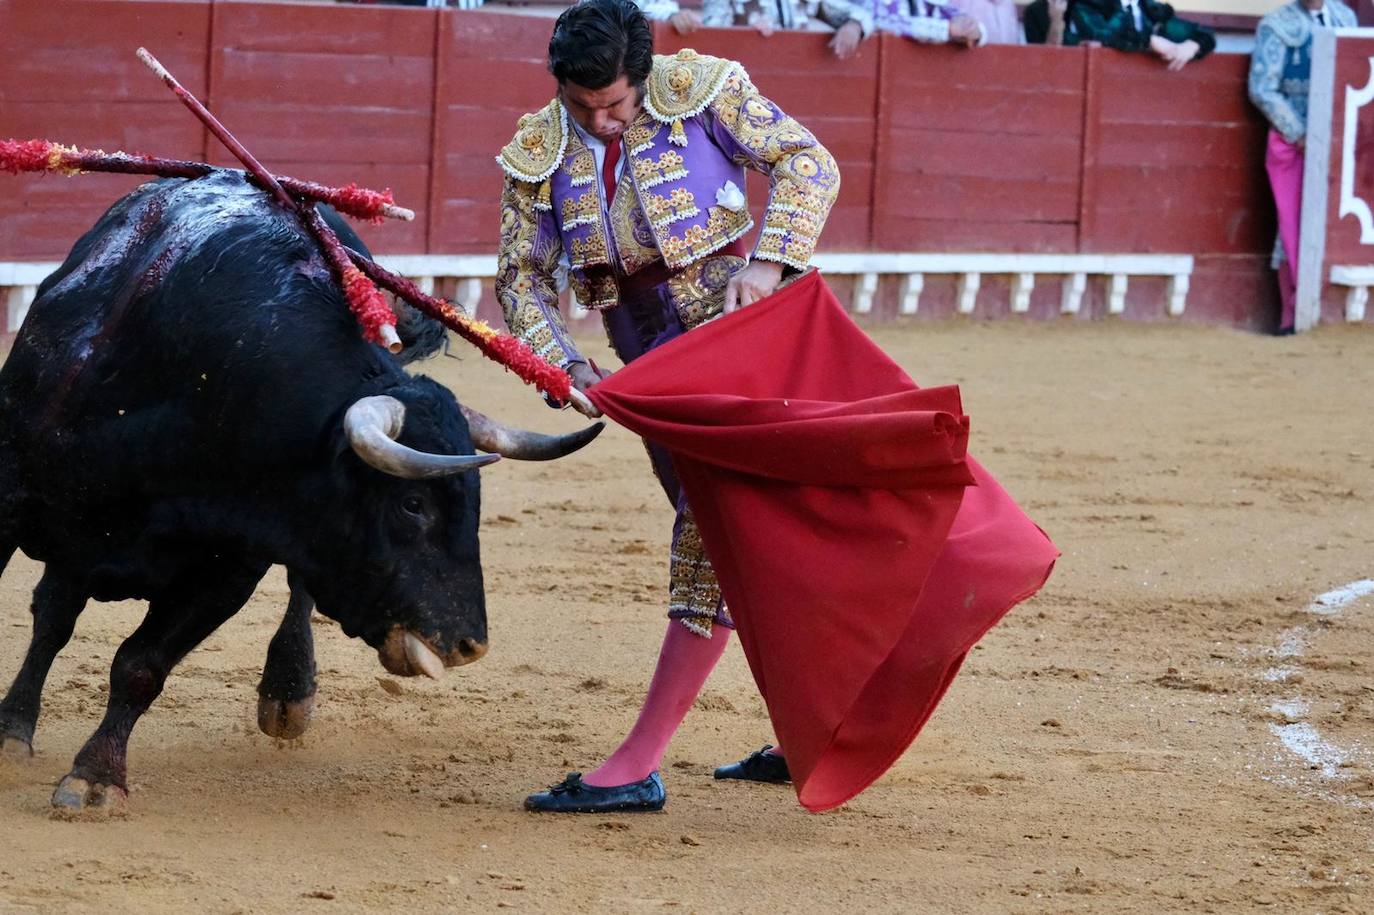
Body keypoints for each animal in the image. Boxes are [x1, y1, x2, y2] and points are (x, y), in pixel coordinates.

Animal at [0, 174, 601, 807]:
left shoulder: (227, 571)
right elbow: (57, 621)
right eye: (412, 504)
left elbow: (141, 666)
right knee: (53, 616)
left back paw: (288, 695)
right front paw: (29, 742)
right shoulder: (11, 500)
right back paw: (15, 728)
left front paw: (95, 777)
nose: (469, 644)